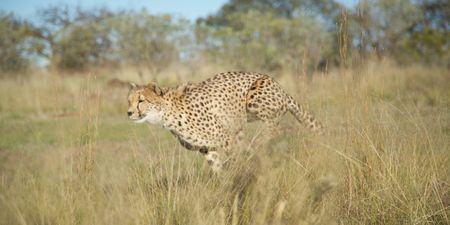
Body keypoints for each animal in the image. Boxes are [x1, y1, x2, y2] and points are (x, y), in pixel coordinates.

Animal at [127, 72, 324, 172]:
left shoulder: (226, 138)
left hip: (254, 99)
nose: (129, 113)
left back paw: (259, 143)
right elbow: (217, 168)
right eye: (129, 100)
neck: (166, 114)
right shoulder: (208, 148)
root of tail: (279, 86)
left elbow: (240, 157)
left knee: (278, 129)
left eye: (141, 100)